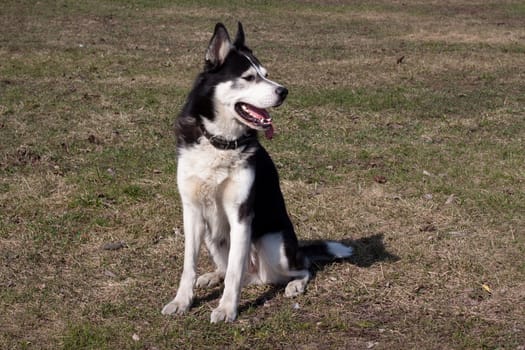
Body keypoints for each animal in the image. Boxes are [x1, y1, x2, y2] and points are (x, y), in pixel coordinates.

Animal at [163, 21, 352, 322]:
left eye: (266, 75)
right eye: (250, 77)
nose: (284, 91)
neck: (220, 142)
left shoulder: (241, 214)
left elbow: (234, 272)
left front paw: (227, 309)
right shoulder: (191, 212)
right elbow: (189, 266)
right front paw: (182, 301)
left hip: (275, 246)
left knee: (302, 267)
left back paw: (295, 284)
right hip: (212, 235)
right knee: (236, 271)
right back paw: (212, 275)